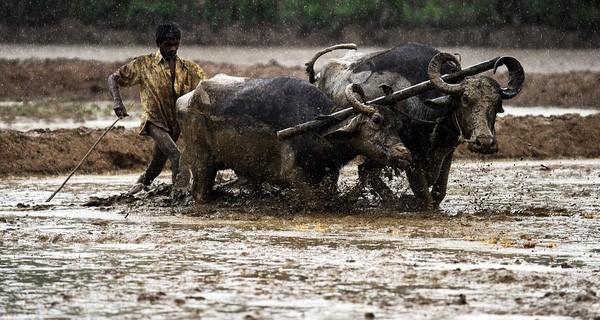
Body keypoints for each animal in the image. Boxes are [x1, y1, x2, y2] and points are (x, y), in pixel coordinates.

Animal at [177, 75, 412, 202]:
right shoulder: (296, 176)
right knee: (200, 191)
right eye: (376, 120)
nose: (405, 153)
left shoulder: (329, 174)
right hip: (203, 163)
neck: (318, 129)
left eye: (399, 126)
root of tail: (186, 100)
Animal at [308, 42, 524, 210]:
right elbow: (423, 194)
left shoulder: (447, 152)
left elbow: (438, 191)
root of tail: (318, 77)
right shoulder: (410, 156)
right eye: (464, 99)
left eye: (497, 105)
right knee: (364, 171)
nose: (485, 142)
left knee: (366, 172)